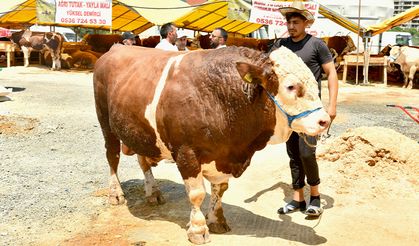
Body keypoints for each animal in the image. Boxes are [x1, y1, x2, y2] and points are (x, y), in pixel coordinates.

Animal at [92, 45, 332, 243]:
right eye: (291, 86)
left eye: (315, 81)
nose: (324, 120)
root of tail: (115, 48)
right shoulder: (186, 152)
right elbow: (196, 193)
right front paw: (198, 229)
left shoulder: (224, 154)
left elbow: (220, 189)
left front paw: (216, 220)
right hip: (106, 123)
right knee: (112, 156)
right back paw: (116, 194)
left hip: (141, 131)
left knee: (143, 160)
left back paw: (153, 192)